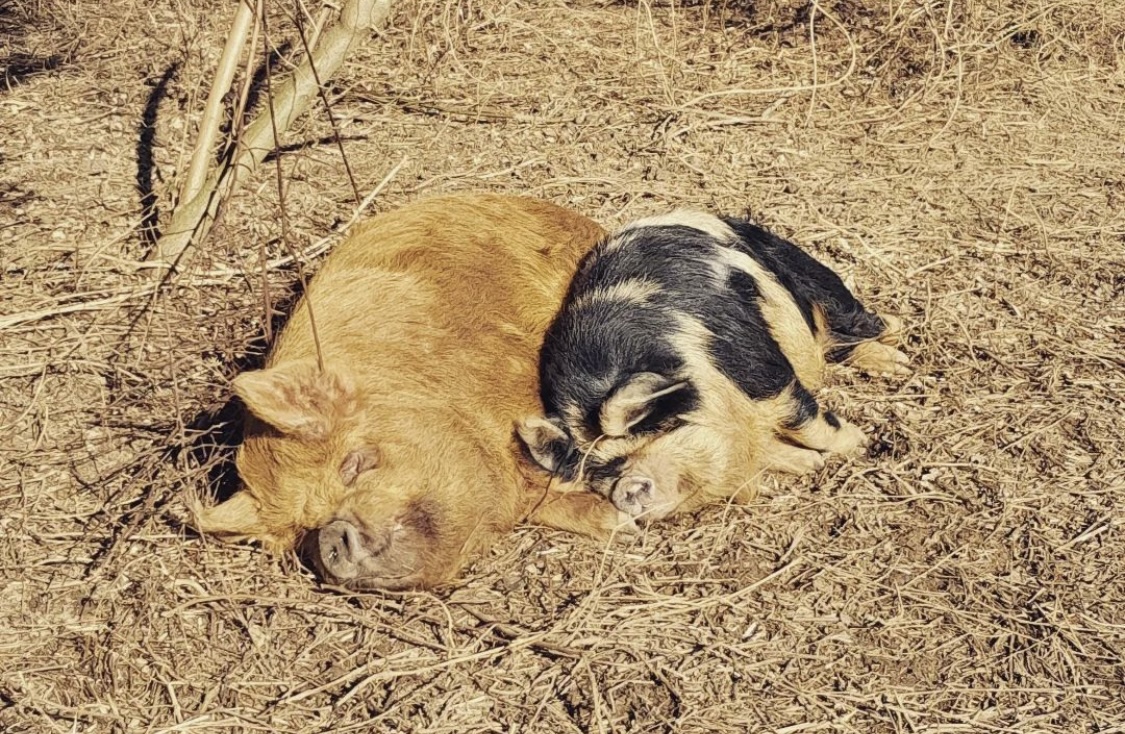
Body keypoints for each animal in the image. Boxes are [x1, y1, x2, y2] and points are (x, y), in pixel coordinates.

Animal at [517, 210, 909, 522]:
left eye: (647, 435)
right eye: (601, 471)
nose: (623, 490)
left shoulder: (763, 373)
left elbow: (804, 418)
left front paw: (858, 444)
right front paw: (811, 464)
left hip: (807, 274)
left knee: (852, 320)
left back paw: (899, 355)